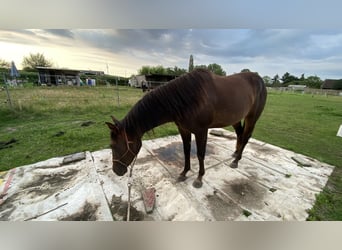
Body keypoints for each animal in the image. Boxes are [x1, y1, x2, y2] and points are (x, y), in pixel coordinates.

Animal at [105, 68, 266, 188]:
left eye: (113, 146)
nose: (116, 171)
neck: (189, 97)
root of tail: (259, 80)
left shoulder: (201, 131)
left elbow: (200, 154)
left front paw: (199, 178)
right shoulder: (184, 130)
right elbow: (186, 151)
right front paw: (184, 173)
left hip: (252, 117)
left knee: (246, 136)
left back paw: (236, 160)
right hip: (235, 118)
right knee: (239, 134)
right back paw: (235, 154)